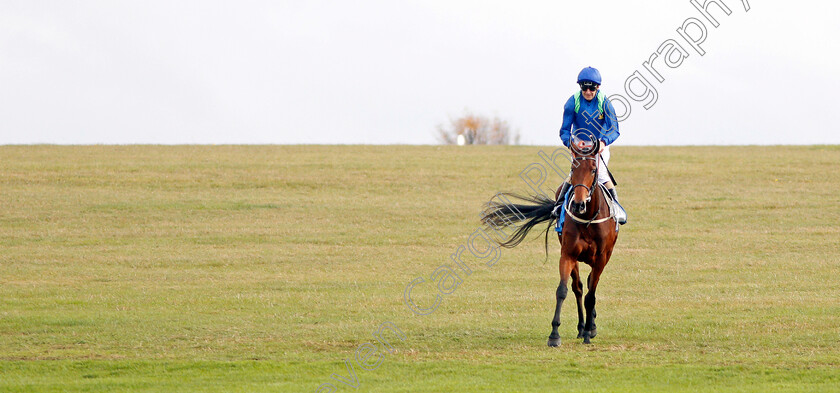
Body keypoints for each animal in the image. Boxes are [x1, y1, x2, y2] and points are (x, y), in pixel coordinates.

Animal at [480, 136, 616, 344]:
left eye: (593, 169)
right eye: (573, 169)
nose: (578, 204)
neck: (587, 219)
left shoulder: (601, 258)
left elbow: (591, 296)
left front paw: (588, 333)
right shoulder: (568, 254)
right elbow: (563, 290)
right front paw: (555, 334)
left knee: (590, 288)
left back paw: (590, 327)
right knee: (578, 287)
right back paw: (581, 327)